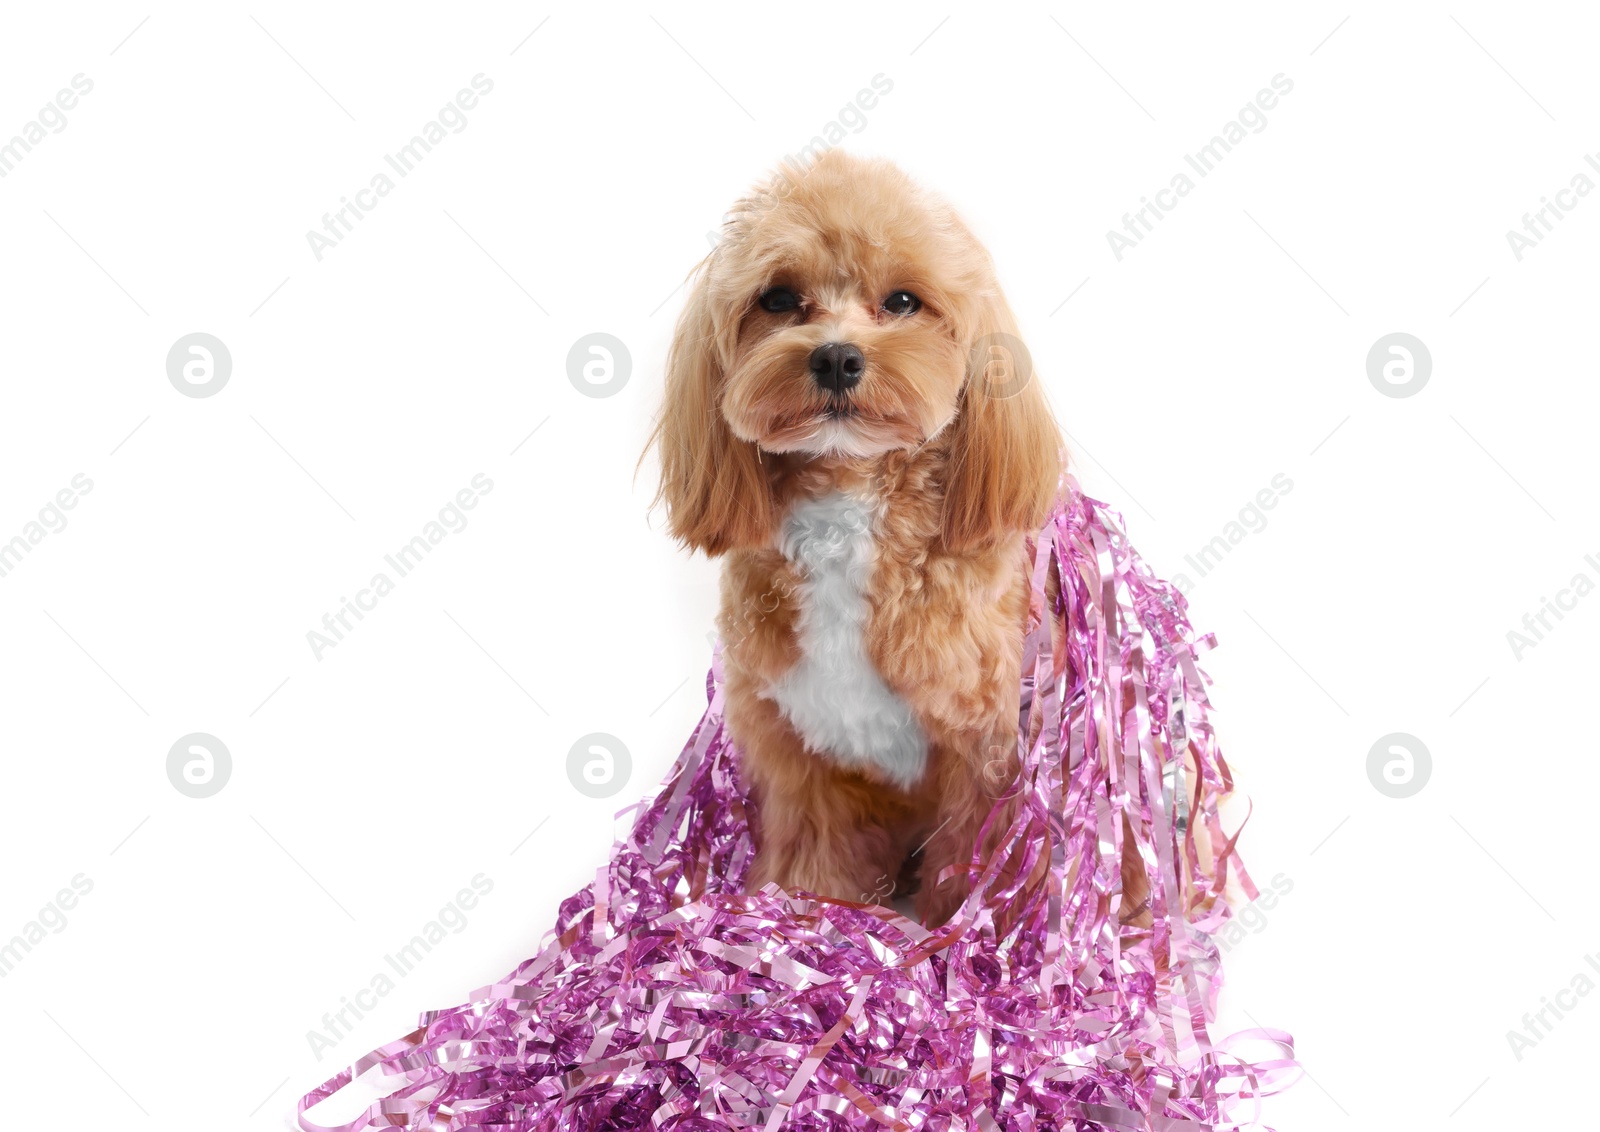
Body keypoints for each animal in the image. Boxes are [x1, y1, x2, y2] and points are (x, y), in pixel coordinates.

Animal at [649, 152, 1075, 927]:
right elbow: (815, 843)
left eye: (903, 301)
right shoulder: (801, 743)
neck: (847, 509)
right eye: (778, 298)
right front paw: (805, 913)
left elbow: (972, 858)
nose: (837, 358)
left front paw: (950, 933)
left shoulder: (986, 747)